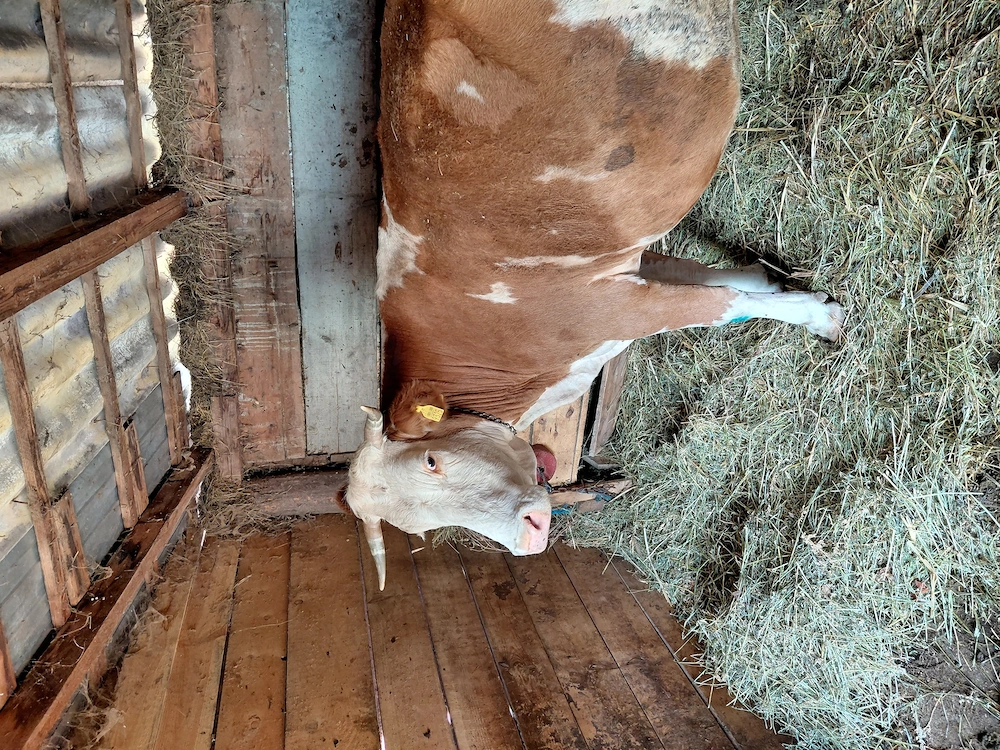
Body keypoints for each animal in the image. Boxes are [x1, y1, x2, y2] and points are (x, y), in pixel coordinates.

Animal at [347, 0, 845, 589]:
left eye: (431, 462)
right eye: (421, 528)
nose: (533, 534)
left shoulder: (611, 308)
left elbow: (721, 303)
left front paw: (819, 316)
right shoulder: (623, 272)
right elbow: (714, 280)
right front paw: (776, 283)